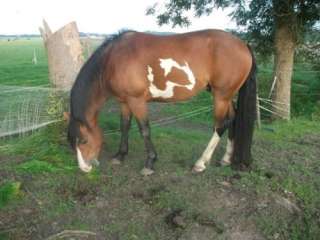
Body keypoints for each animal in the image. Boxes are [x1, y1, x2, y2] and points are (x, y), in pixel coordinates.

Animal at [65, 29, 258, 176]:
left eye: (83, 141)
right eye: (71, 141)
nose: (85, 168)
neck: (112, 60)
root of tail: (243, 44)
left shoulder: (137, 101)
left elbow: (144, 130)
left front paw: (150, 163)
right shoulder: (124, 101)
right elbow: (124, 126)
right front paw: (120, 155)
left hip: (221, 96)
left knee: (220, 125)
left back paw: (200, 163)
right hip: (227, 96)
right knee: (233, 119)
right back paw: (226, 159)